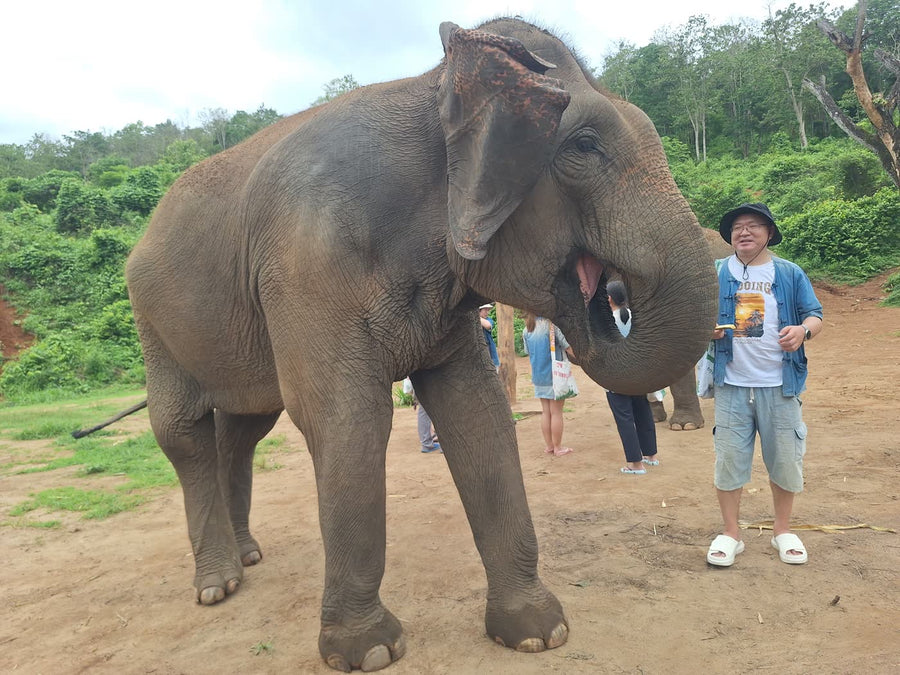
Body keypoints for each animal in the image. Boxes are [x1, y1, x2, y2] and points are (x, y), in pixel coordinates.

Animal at [125, 17, 717, 672]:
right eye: (584, 147)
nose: (609, 297)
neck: (434, 86)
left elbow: (476, 409)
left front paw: (538, 633)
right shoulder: (307, 264)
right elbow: (347, 419)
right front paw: (369, 652)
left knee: (245, 427)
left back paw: (249, 555)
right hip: (153, 322)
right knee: (182, 431)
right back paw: (218, 584)